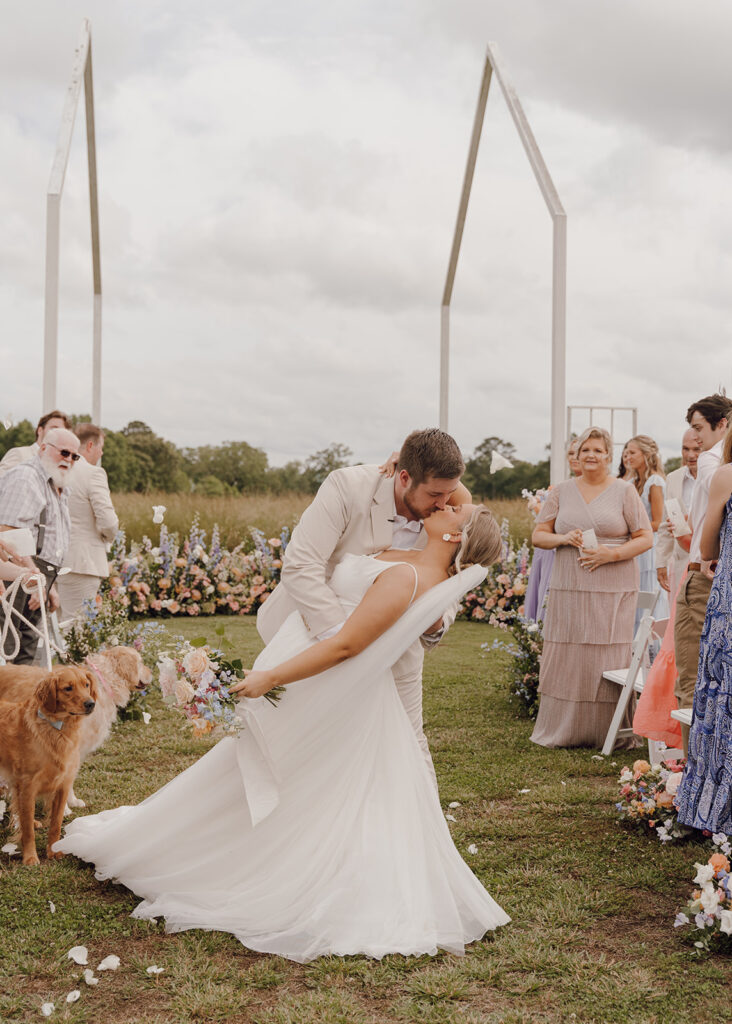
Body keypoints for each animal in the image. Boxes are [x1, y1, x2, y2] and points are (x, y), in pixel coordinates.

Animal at [0, 663, 97, 864]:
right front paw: (30, 858)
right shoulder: (28, 786)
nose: (91, 703)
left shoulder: (63, 785)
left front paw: (53, 852)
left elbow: (56, 824)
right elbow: (28, 831)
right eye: (68, 688)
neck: (58, 729)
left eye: (86, 684)